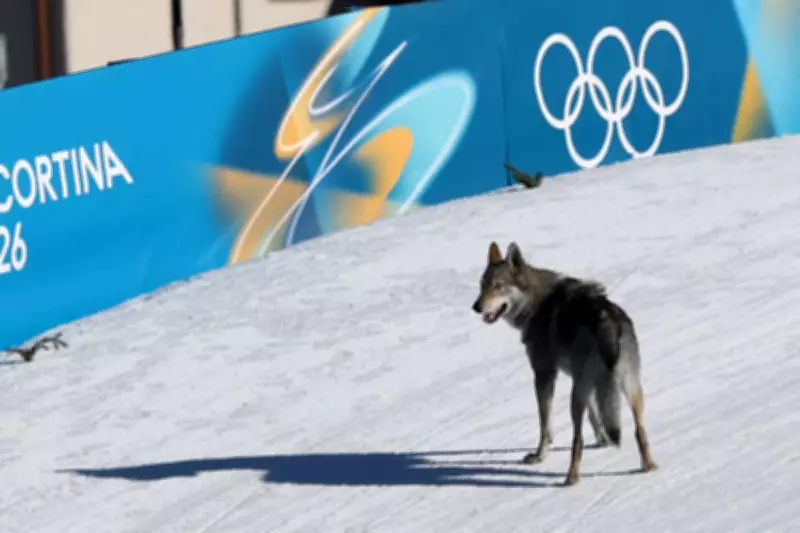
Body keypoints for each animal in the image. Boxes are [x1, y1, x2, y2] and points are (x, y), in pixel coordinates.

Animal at [471, 241, 658, 486]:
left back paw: (571, 478)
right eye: (482, 285)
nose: (476, 307)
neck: (535, 303)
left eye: (499, 286)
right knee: (640, 431)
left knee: (577, 440)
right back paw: (649, 467)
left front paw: (539, 456)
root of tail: (606, 319)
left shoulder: (544, 375)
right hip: (630, 388)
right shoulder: (582, 381)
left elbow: (545, 426)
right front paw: (603, 440)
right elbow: (595, 415)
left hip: (575, 397)